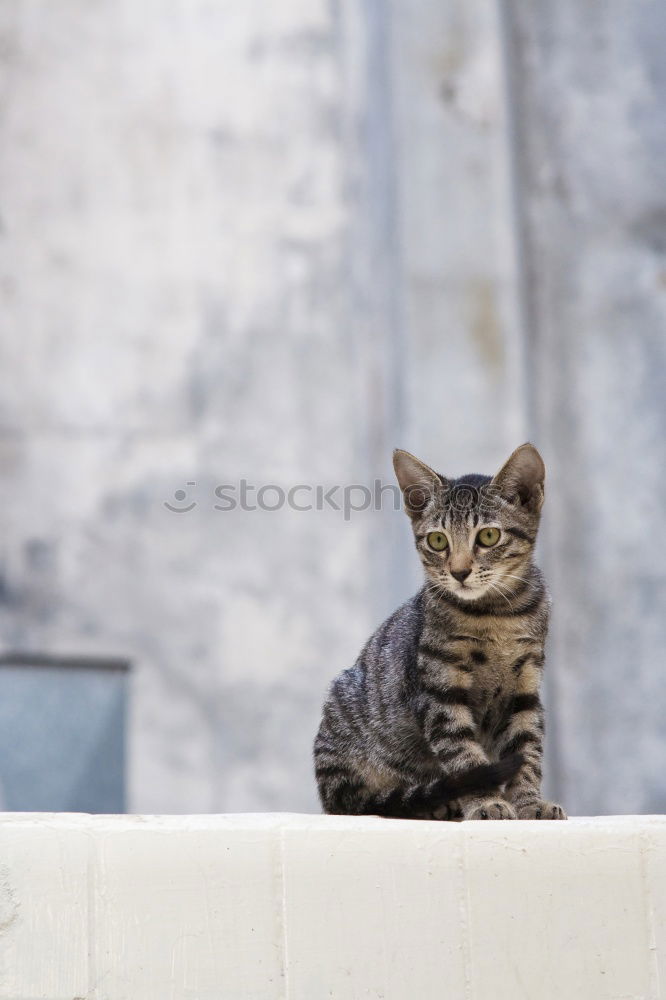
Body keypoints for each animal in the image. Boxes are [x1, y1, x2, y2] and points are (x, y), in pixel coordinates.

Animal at [314, 446, 564, 820]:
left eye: (488, 536)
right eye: (437, 540)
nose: (459, 572)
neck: (495, 615)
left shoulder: (525, 690)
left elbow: (527, 751)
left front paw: (529, 803)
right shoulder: (440, 690)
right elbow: (464, 754)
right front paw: (487, 801)